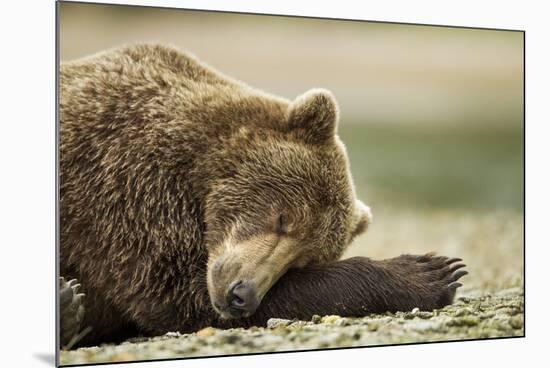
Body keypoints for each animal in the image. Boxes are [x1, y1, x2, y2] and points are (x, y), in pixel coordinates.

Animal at [58, 43, 468, 348]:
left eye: (301, 260)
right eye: (283, 218)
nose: (242, 295)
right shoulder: (126, 188)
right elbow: (174, 293)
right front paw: (430, 272)